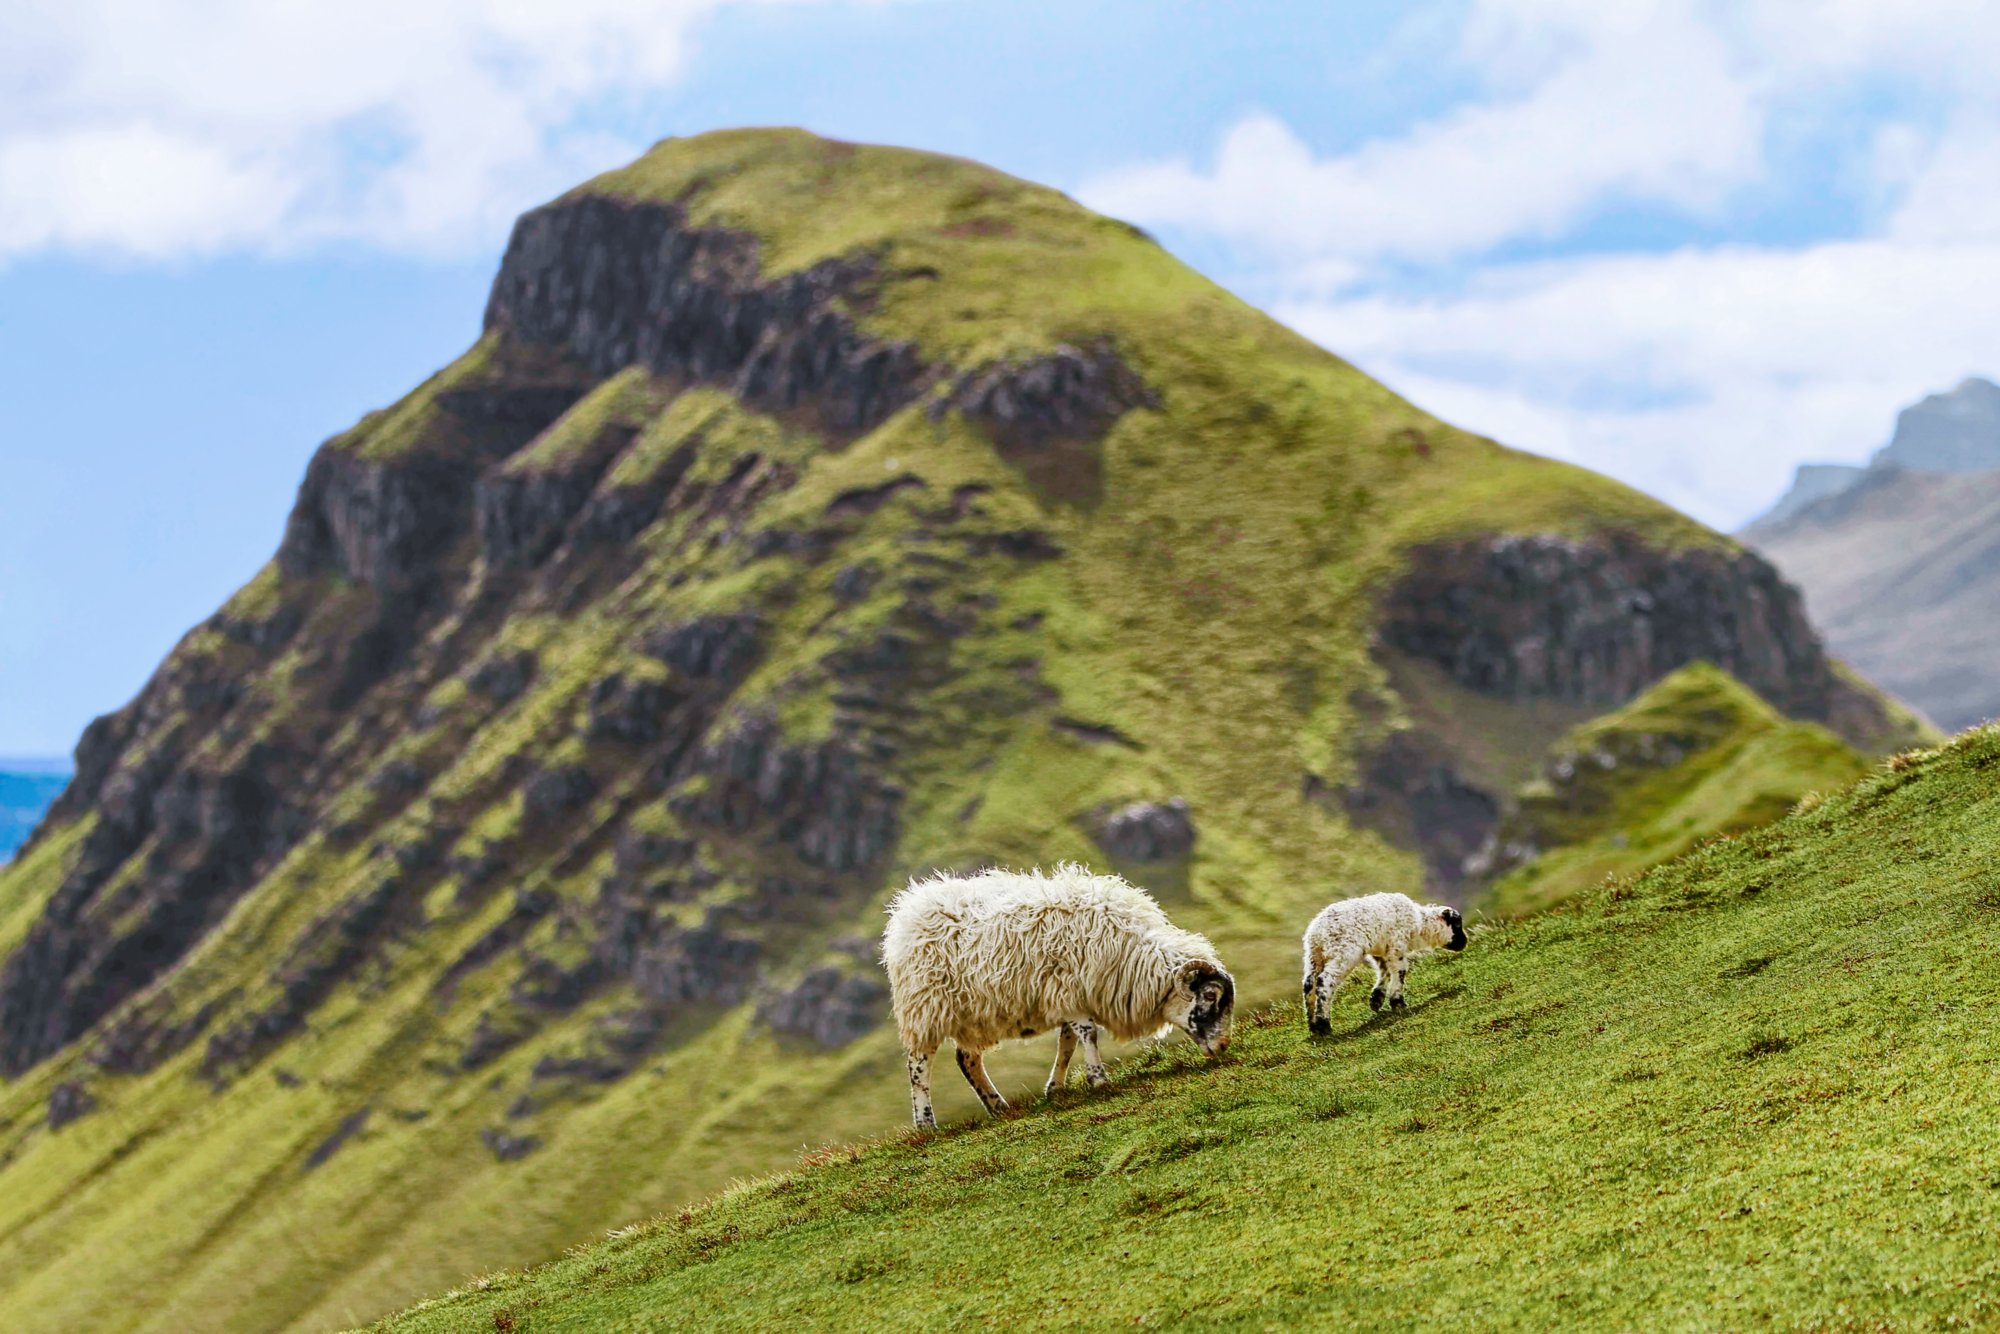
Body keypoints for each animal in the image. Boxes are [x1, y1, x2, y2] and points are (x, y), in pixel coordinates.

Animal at [880, 868, 1232, 1128]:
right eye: (1209, 995)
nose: (1223, 1046)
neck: (1136, 959)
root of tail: (908, 911)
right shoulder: (1073, 995)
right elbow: (1087, 1036)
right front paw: (1099, 1080)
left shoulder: (1069, 1000)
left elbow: (1067, 1044)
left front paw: (1056, 1089)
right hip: (926, 1007)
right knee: (919, 1065)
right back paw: (926, 1123)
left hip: (973, 1014)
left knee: (967, 1060)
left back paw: (998, 1106)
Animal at [1296, 892, 1472, 1040]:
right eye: (1456, 925)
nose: (1465, 942)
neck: (1420, 925)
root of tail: (1317, 933)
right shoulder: (1396, 945)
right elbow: (1400, 971)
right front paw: (1398, 1002)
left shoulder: (1380, 949)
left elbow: (1385, 971)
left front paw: (1377, 999)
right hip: (1344, 951)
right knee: (1325, 981)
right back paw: (1324, 1024)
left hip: (1314, 957)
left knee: (1309, 984)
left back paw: (1313, 1025)